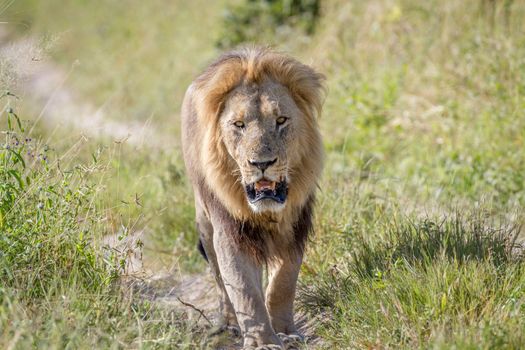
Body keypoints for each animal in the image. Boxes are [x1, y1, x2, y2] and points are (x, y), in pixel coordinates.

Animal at [180, 47, 324, 348]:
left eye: (281, 120)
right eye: (239, 124)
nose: (261, 163)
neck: (268, 211)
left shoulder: (296, 226)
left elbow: (283, 282)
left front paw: (285, 332)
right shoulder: (230, 230)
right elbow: (243, 287)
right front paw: (261, 341)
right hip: (204, 221)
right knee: (220, 280)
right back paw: (230, 324)